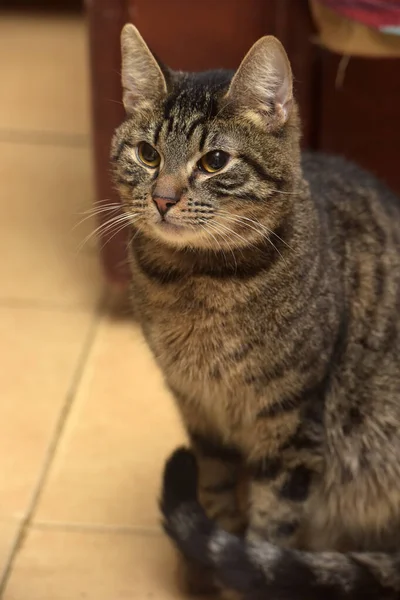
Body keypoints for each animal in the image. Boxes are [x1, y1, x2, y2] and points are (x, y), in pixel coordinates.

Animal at [111, 24, 400, 600]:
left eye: (214, 161)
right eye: (148, 153)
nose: (162, 198)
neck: (195, 280)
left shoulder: (290, 423)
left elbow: (271, 525)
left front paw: (245, 577)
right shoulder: (200, 412)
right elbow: (216, 493)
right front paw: (205, 570)